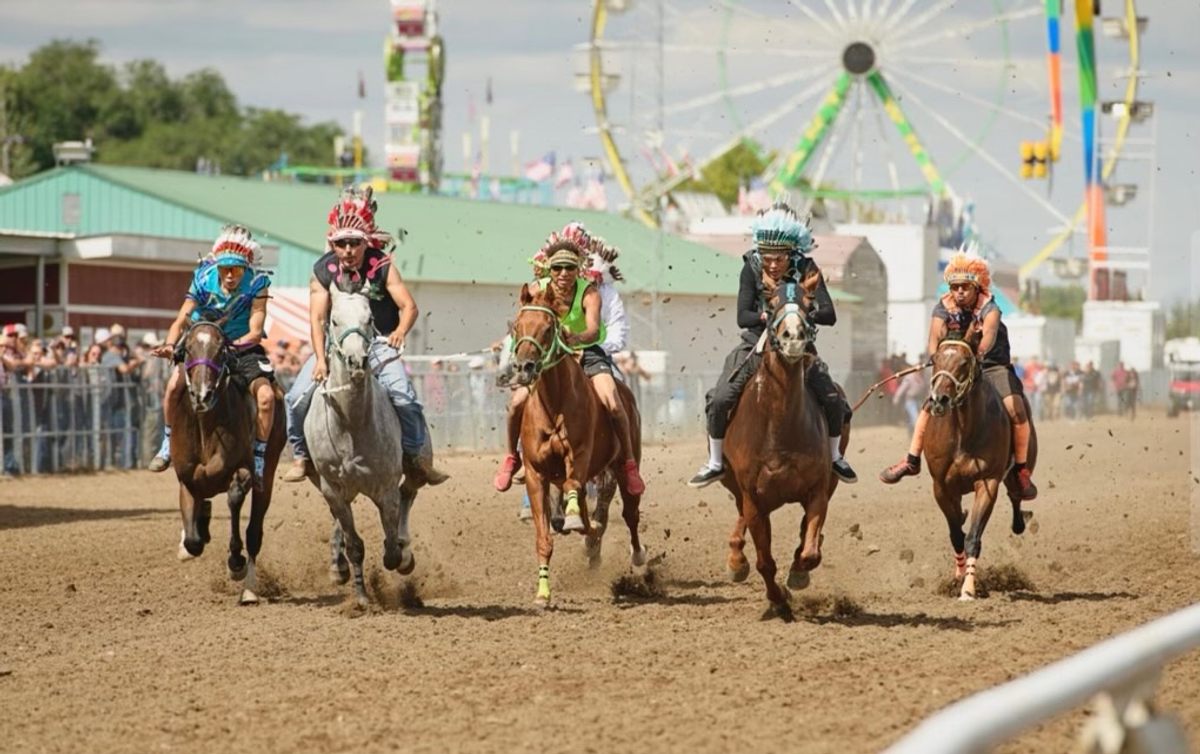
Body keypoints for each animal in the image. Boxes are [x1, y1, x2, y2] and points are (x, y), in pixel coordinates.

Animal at [171, 321, 285, 602]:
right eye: (188, 348)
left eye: (221, 349)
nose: (202, 394)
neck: (205, 425)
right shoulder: (187, 479)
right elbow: (193, 542)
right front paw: (194, 535)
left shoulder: (241, 472)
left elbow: (235, 496)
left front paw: (236, 562)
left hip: (268, 472)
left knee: (254, 532)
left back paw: (249, 589)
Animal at [302, 283, 415, 607]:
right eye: (334, 320)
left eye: (369, 318)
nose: (356, 362)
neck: (351, 425)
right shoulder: (333, 488)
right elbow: (355, 545)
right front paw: (362, 597)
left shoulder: (386, 488)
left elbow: (391, 541)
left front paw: (399, 557)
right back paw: (337, 567)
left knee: (410, 491)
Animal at [511, 283, 652, 607]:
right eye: (517, 325)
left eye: (548, 328)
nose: (524, 367)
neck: (554, 404)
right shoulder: (536, 474)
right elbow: (544, 536)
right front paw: (543, 593)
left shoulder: (580, 457)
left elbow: (577, 488)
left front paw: (576, 520)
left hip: (622, 465)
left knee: (630, 513)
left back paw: (636, 554)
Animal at [715, 283, 849, 619]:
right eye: (771, 301)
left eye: (809, 302)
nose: (793, 337)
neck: (778, 426)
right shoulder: (754, 499)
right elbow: (764, 562)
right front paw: (777, 599)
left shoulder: (817, 490)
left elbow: (811, 551)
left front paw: (797, 574)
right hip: (734, 485)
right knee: (741, 518)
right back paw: (736, 561)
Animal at [921, 324, 1036, 600]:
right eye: (935, 359)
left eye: (964, 362)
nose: (939, 400)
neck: (964, 431)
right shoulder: (941, 486)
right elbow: (956, 535)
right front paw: (958, 578)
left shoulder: (987, 482)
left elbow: (973, 537)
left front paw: (968, 588)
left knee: (1016, 493)